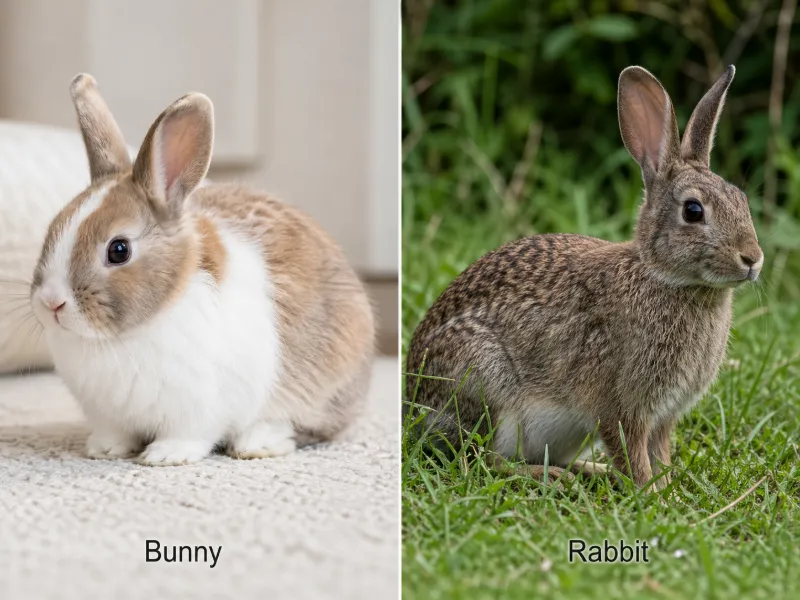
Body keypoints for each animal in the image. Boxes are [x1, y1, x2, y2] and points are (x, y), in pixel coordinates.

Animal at [28, 74, 375, 465]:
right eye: (52, 229)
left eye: (119, 250)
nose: (51, 303)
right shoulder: (107, 414)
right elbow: (115, 433)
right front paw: (104, 449)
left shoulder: (199, 408)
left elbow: (191, 434)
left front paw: (164, 455)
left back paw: (257, 444)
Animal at [406, 65, 762, 489]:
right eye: (693, 211)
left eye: (741, 199)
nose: (753, 259)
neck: (665, 277)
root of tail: (412, 406)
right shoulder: (622, 405)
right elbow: (634, 455)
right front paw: (650, 494)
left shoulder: (663, 417)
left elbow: (660, 455)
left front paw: (668, 492)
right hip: (483, 382)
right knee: (480, 460)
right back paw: (553, 477)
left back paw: (588, 471)